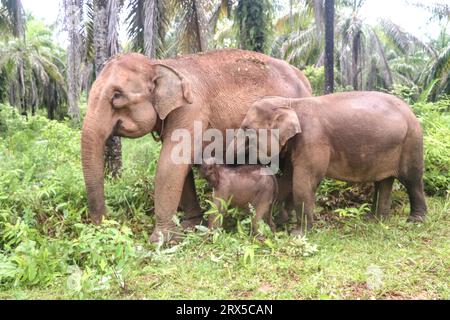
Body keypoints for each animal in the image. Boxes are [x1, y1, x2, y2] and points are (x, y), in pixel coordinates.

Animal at [81, 48, 312, 242]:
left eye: (117, 95)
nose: (107, 224)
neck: (160, 64)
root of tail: (305, 81)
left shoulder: (192, 108)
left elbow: (171, 163)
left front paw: (160, 241)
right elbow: (179, 166)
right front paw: (190, 226)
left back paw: (285, 220)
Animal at [237, 91, 428, 234]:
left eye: (247, 129)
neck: (290, 103)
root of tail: (410, 111)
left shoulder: (313, 139)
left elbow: (303, 182)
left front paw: (298, 233)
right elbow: (287, 181)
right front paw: (280, 221)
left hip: (411, 141)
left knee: (412, 180)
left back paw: (415, 220)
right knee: (383, 182)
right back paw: (375, 219)